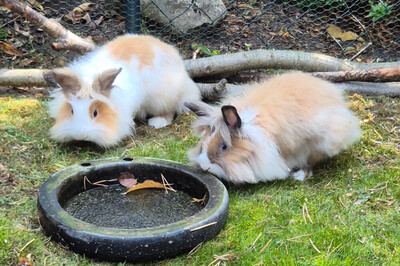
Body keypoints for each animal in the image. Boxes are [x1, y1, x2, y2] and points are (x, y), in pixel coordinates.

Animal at [46, 34, 200, 147]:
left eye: (95, 113)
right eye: (72, 111)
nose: (81, 136)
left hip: (162, 98)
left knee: (169, 110)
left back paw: (157, 122)